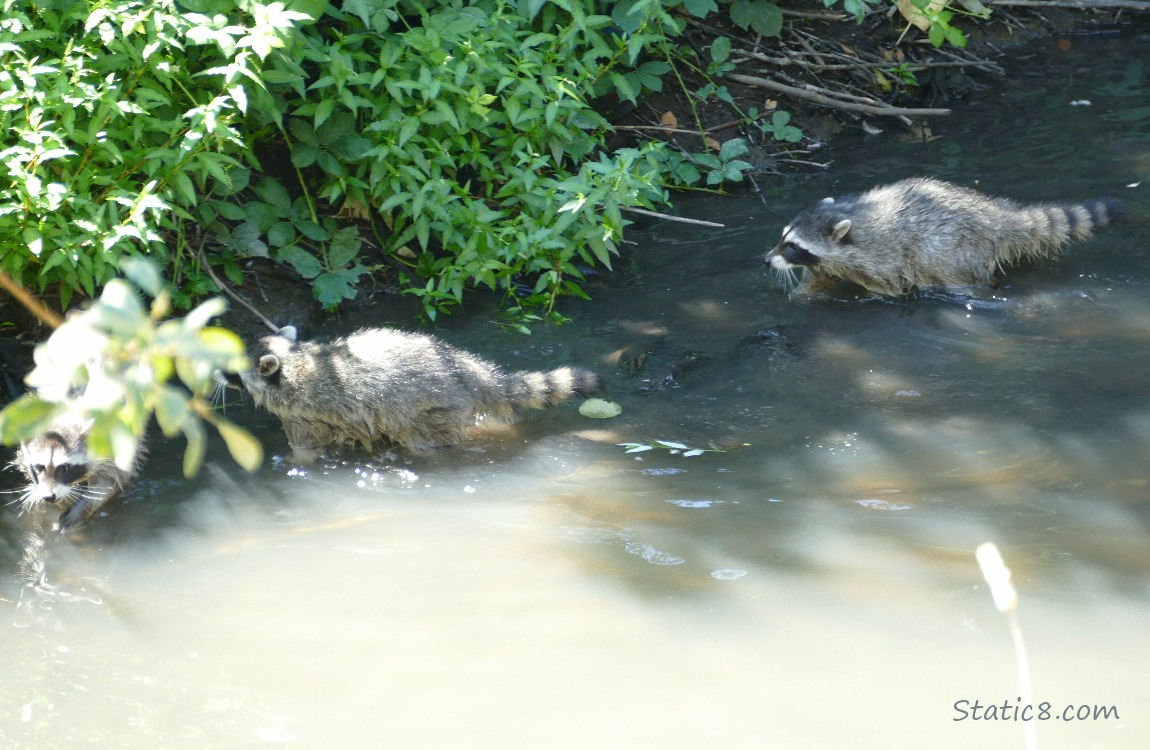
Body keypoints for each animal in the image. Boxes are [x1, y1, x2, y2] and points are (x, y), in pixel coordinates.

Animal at [224, 326, 604, 461]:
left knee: (429, 439)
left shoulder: (304, 415)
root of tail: (465, 370)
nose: (214, 376)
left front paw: (294, 462)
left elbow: (306, 449)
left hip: (433, 409)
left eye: (229, 369)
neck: (298, 361)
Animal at [765, 177, 1122, 296]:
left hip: (953, 251)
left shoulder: (880, 256)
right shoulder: (832, 260)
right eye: (783, 237)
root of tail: (993, 215)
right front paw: (802, 294)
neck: (851, 214)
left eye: (793, 247)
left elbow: (886, 282)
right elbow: (820, 279)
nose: (767, 261)